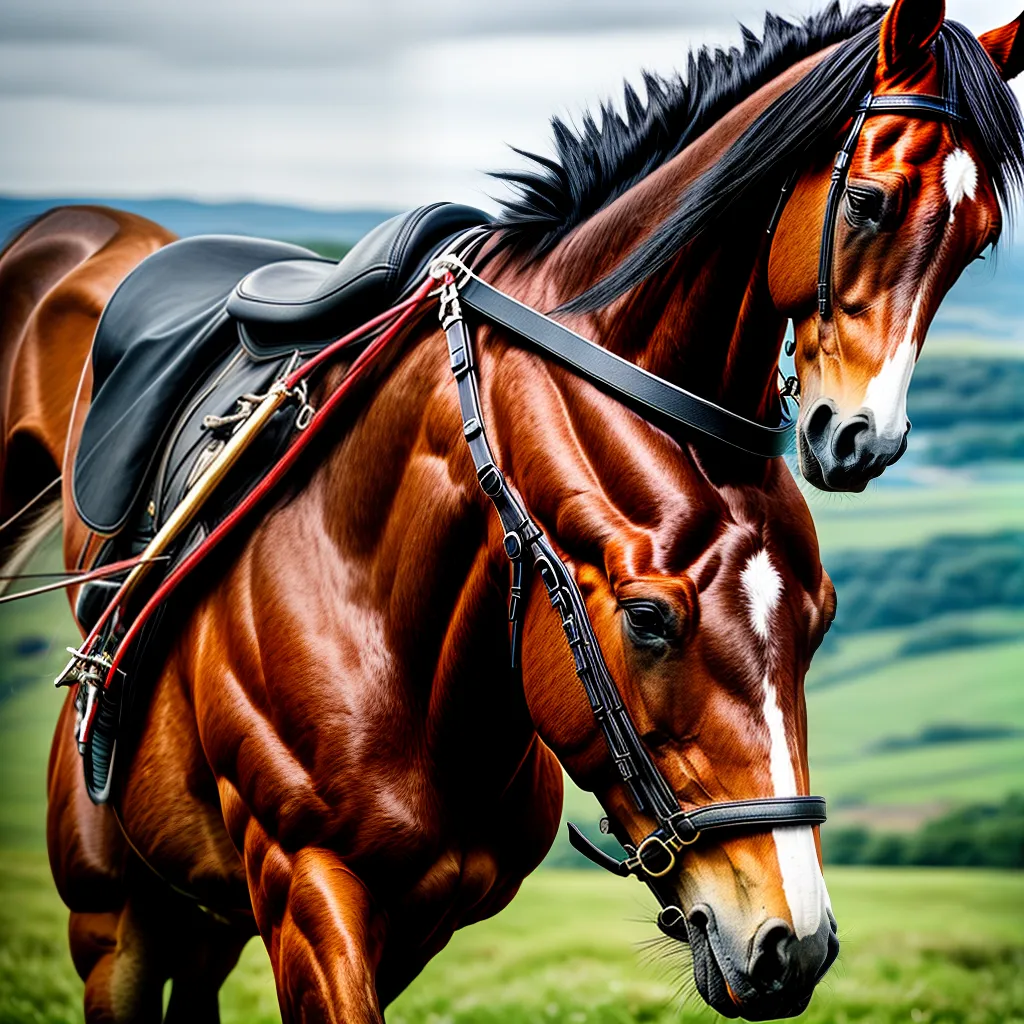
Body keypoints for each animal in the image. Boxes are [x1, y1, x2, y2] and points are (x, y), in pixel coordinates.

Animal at [0, 0, 1021, 1020]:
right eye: (868, 202)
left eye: (979, 240)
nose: (790, 947)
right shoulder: (307, 891)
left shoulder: (414, 924)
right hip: (117, 927)